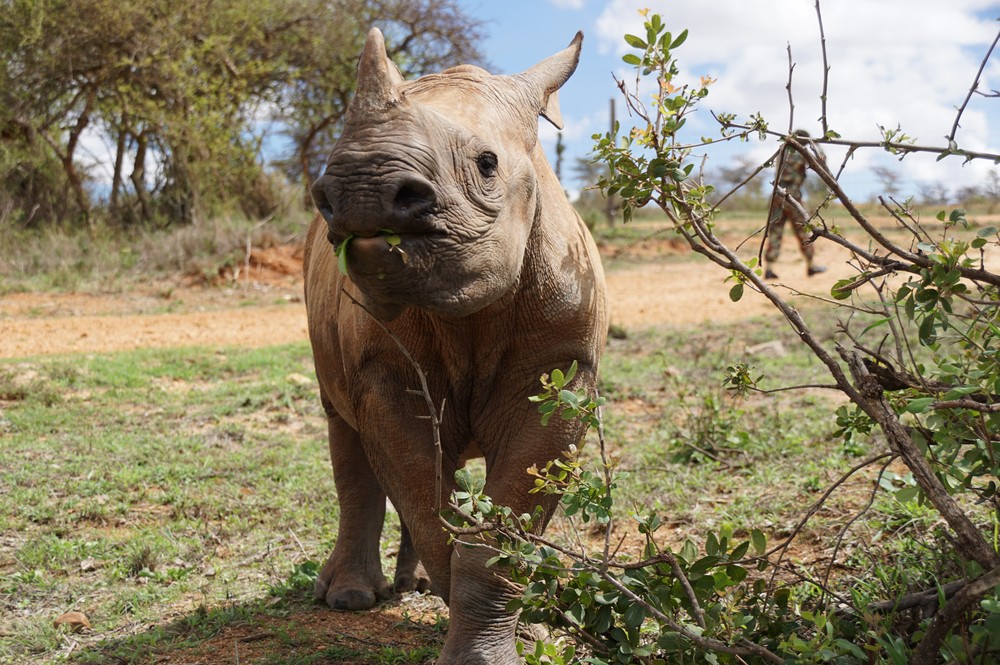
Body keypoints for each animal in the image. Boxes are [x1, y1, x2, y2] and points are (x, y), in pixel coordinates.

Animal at [303, 27, 607, 663]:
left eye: (487, 164)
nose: (359, 187)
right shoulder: (383, 373)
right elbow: (428, 505)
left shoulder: (564, 371)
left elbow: (500, 529)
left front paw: (524, 631)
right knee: (347, 432)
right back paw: (350, 598)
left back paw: (412, 585)